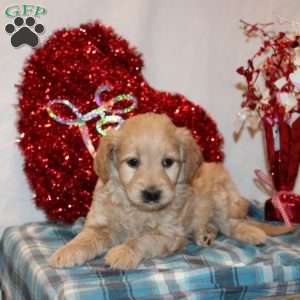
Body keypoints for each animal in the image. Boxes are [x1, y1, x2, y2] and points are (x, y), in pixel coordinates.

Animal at [48, 112, 292, 270]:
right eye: (133, 162)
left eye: (168, 162)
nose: (152, 194)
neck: (135, 209)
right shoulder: (100, 224)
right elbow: (84, 238)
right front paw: (66, 251)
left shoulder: (168, 234)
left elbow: (142, 239)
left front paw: (123, 252)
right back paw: (205, 234)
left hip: (223, 198)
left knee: (231, 224)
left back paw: (251, 233)